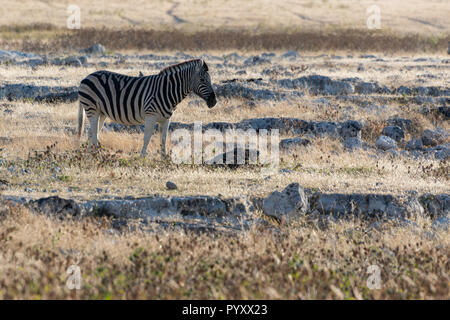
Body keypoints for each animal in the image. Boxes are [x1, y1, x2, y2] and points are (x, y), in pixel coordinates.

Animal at [78, 58, 218, 158]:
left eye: (210, 79)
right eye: (202, 80)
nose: (214, 101)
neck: (167, 90)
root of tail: (86, 77)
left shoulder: (166, 119)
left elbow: (163, 138)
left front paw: (164, 158)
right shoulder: (150, 115)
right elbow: (147, 137)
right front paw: (142, 157)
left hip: (101, 112)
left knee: (92, 132)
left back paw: (89, 154)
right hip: (92, 108)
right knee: (93, 131)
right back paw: (96, 155)